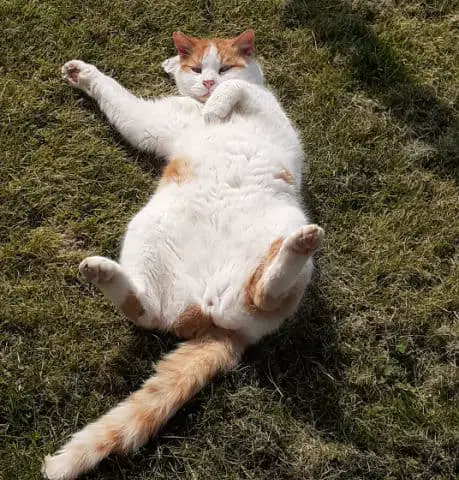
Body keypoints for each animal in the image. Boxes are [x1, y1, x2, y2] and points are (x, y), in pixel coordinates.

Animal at [42, 30, 324, 480]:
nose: (207, 83)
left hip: (282, 225)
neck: (199, 106)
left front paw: (217, 107)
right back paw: (101, 272)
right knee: (149, 311)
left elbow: (239, 90)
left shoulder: (262, 100)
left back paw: (300, 244)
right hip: (149, 232)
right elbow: (121, 101)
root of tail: (212, 320)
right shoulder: (154, 121)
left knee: (263, 292)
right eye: (195, 69)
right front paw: (83, 74)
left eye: (223, 66)